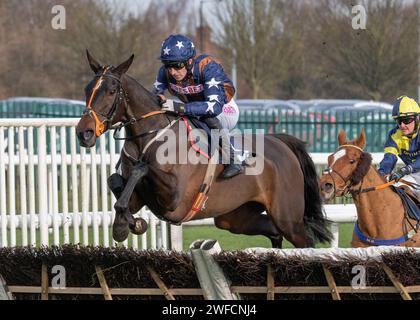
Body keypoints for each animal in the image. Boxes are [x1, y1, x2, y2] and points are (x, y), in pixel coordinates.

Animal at [75, 52, 332, 248]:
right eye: (87, 89)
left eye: (111, 91)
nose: (83, 133)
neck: (148, 138)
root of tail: (281, 142)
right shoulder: (139, 198)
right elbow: (115, 184)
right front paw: (128, 224)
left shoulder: (174, 198)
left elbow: (142, 169)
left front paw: (125, 224)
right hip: (235, 217)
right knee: (272, 230)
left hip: (288, 217)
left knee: (305, 242)